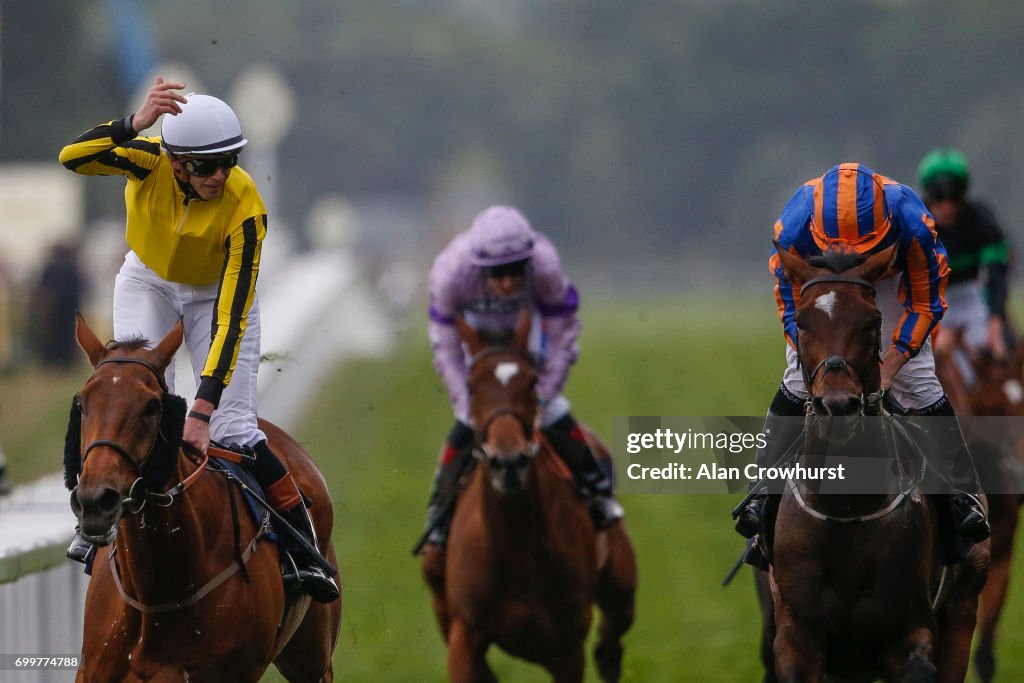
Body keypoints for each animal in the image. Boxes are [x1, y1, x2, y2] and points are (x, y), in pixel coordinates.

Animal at [419, 313, 634, 683]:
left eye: (532, 383)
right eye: (471, 385)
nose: (508, 462)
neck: (515, 544)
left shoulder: (566, 646)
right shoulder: (465, 634)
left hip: (621, 583)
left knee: (615, 626)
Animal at [765, 246, 987, 683]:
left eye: (873, 322)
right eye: (802, 322)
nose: (837, 405)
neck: (846, 507)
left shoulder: (908, 627)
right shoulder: (797, 635)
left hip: (964, 602)